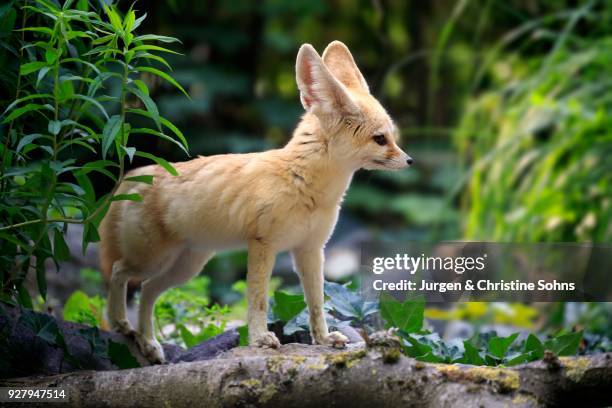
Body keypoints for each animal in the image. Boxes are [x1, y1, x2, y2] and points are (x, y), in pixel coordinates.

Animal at [100, 41, 414, 364]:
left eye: (391, 137)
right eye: (380, 139)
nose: (410, 161)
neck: (304, 184)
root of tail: (135, 174)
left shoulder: (311, 249)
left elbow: (316, 302)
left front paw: (324, 339)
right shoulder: (264, 245)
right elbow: (258, 299)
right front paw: (261, 339)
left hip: (185, 267)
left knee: (147, 291)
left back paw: (148, 343)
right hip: (151, 259)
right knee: (120, 272)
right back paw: (121, 324)